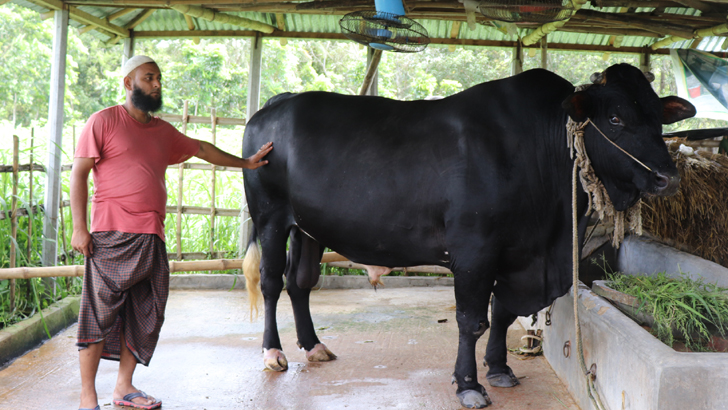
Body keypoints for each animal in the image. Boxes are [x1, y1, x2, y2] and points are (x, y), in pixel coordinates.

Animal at [240, 64, 692, 406]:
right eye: (615, 118)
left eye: (657, 117)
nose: (668, 178)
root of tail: (277, 102)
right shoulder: (475, 251)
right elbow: (471, 320)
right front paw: (469, 384)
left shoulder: (517, 252)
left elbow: (502, 313)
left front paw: (500, 368)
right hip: (270, 217)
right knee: (271, 282)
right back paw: (273, 352)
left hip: (308, 228)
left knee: (301, 282)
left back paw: (314, 345)